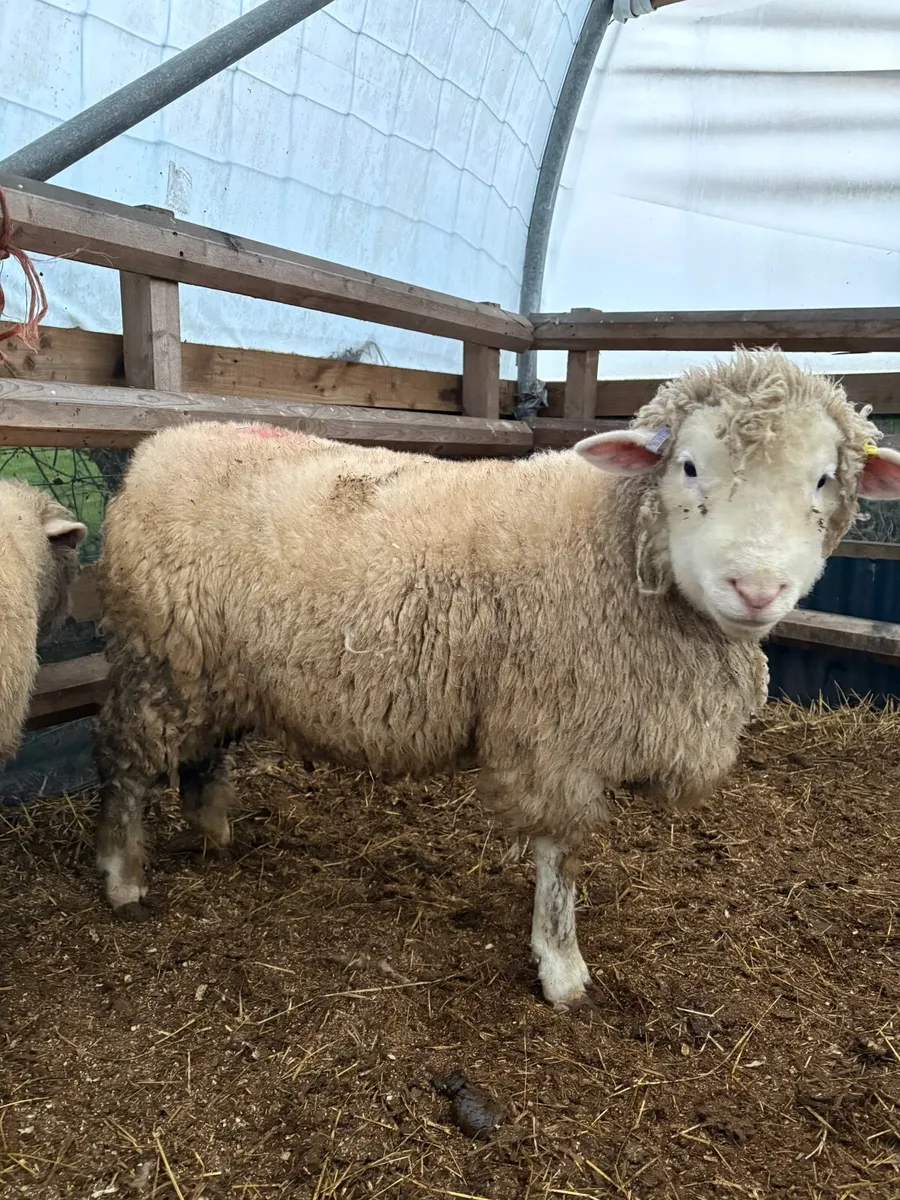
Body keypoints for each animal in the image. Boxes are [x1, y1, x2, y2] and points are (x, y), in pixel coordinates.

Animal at [92, 349, 900, 1012]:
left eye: (823, 479)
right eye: (690, 466)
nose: (756, 589)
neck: (610, 542)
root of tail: (159, 448)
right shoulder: (555, 732)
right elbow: (561, 856)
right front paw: (562, 970)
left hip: (210, 666)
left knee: (203, 754)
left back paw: (213, 835)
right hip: (155, 656)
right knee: (128, 763)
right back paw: (124, 878)